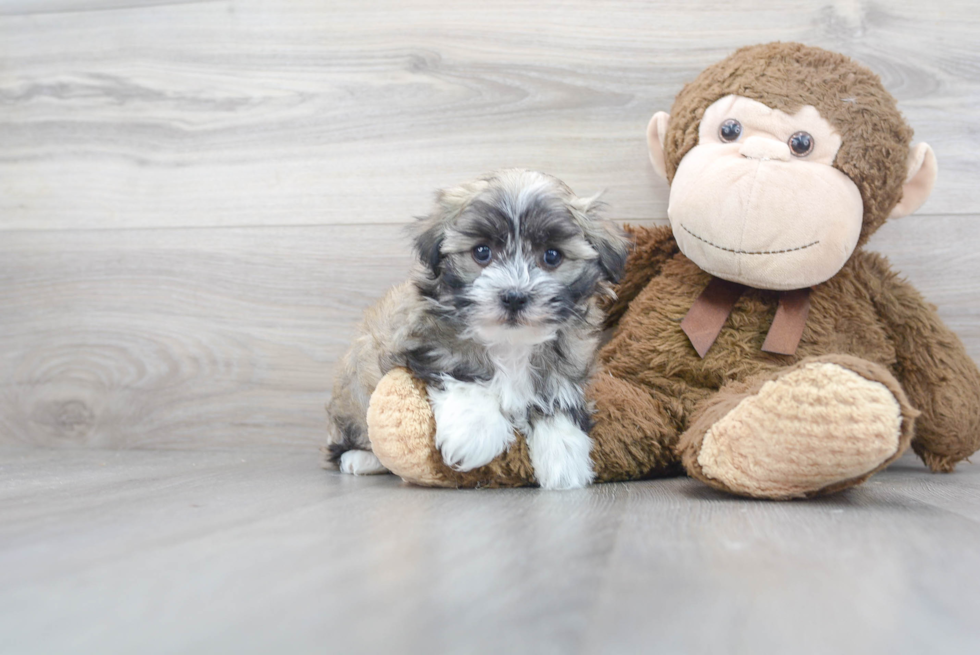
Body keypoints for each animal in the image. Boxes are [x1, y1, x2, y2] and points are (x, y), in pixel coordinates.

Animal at [326, 172, 632, 490]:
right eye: (482, 252)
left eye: (551, 256)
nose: (514, 296)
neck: (511, 342)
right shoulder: (427, 341)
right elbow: (463, 369)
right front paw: (474, 431)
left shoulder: (569, 361)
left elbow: (557, 397)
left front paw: (564, 452)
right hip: (353, 392)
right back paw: (361, 459)